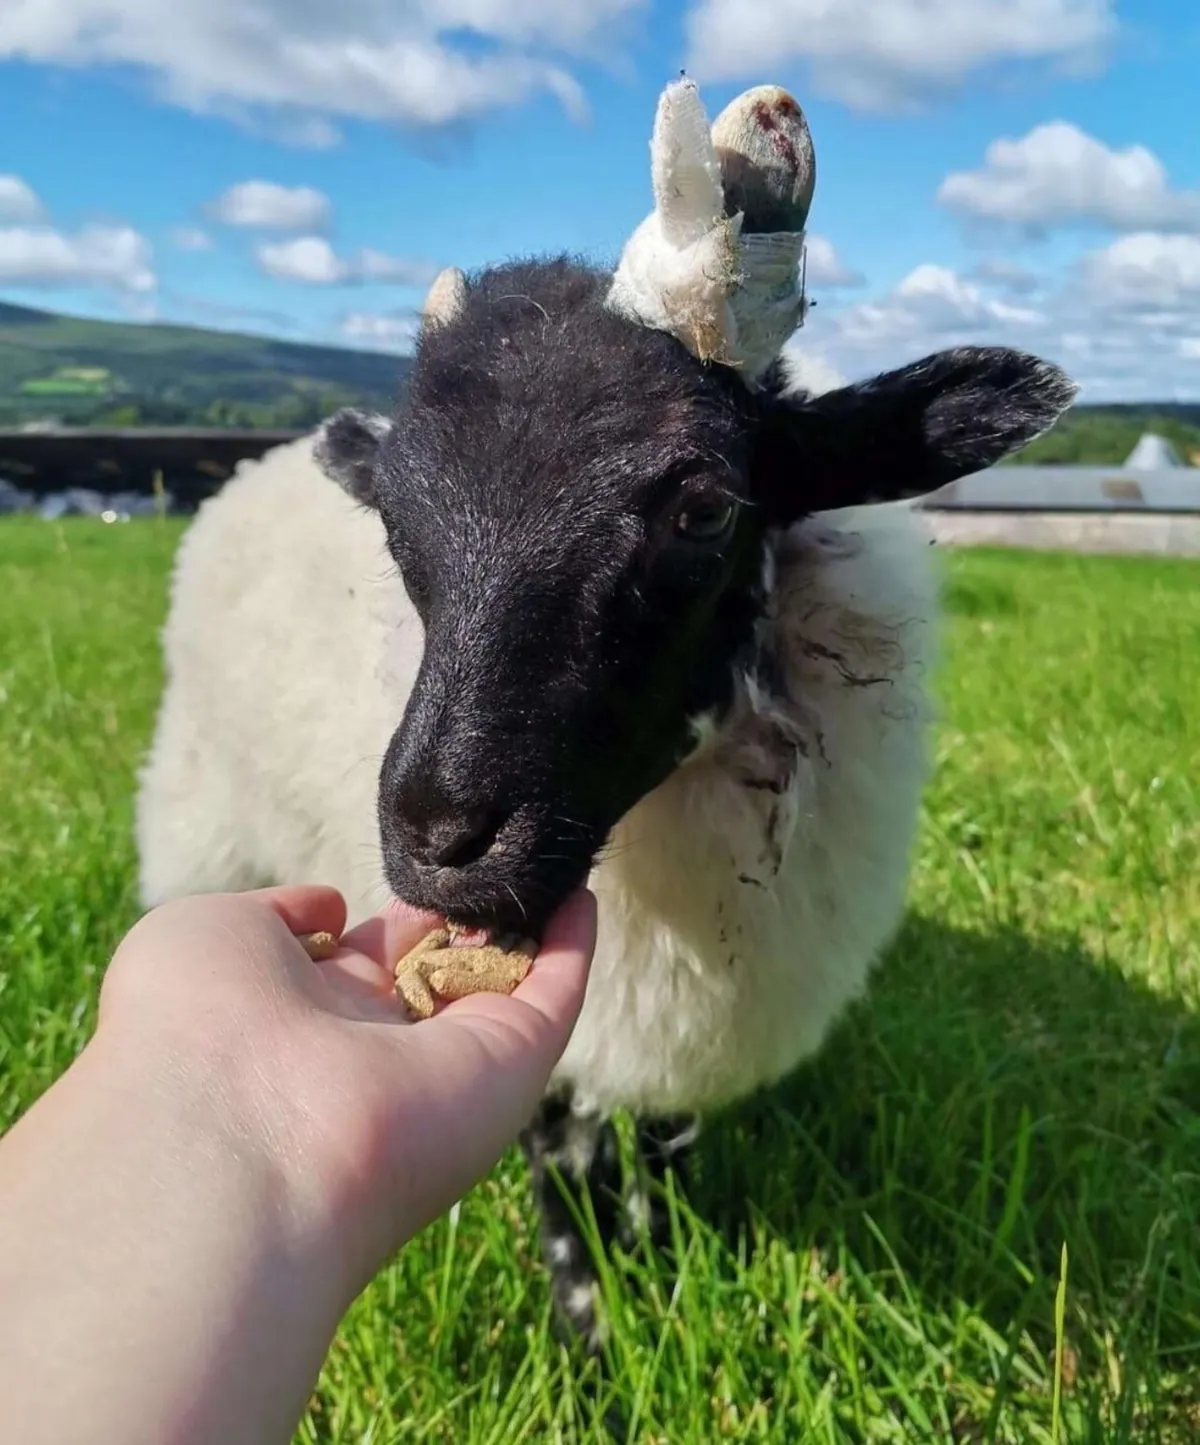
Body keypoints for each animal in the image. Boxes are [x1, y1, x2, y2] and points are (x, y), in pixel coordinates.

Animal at [135, 77, 1077, 1349]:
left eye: (706, 506)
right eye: (395, 522)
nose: (439, 841)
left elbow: (667, 1152)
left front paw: (667, 1277)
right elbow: (562, 1171)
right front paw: (592, 1336)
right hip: (202, 818)